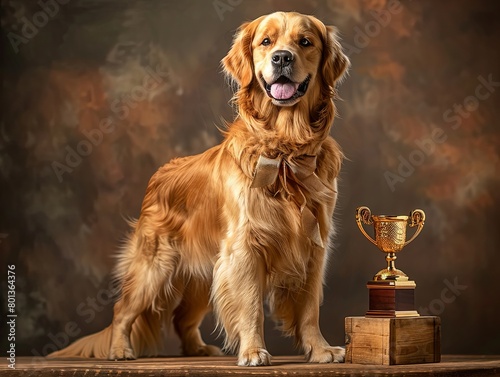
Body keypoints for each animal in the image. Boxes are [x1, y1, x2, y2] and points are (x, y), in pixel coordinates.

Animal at [49, 11, 348, 364]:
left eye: (305, 42)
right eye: (266, 41)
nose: (282, 58)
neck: (284, 148)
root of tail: (159, 174)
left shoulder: (313, 244)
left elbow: (310, 308)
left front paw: (320, 349)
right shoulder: (243, 249)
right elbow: (250, 306)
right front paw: (253, 351)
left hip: (203, 276)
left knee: (182, 319)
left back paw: (197, 348)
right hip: (155, 266)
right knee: (122, 309)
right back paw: (120, 349)